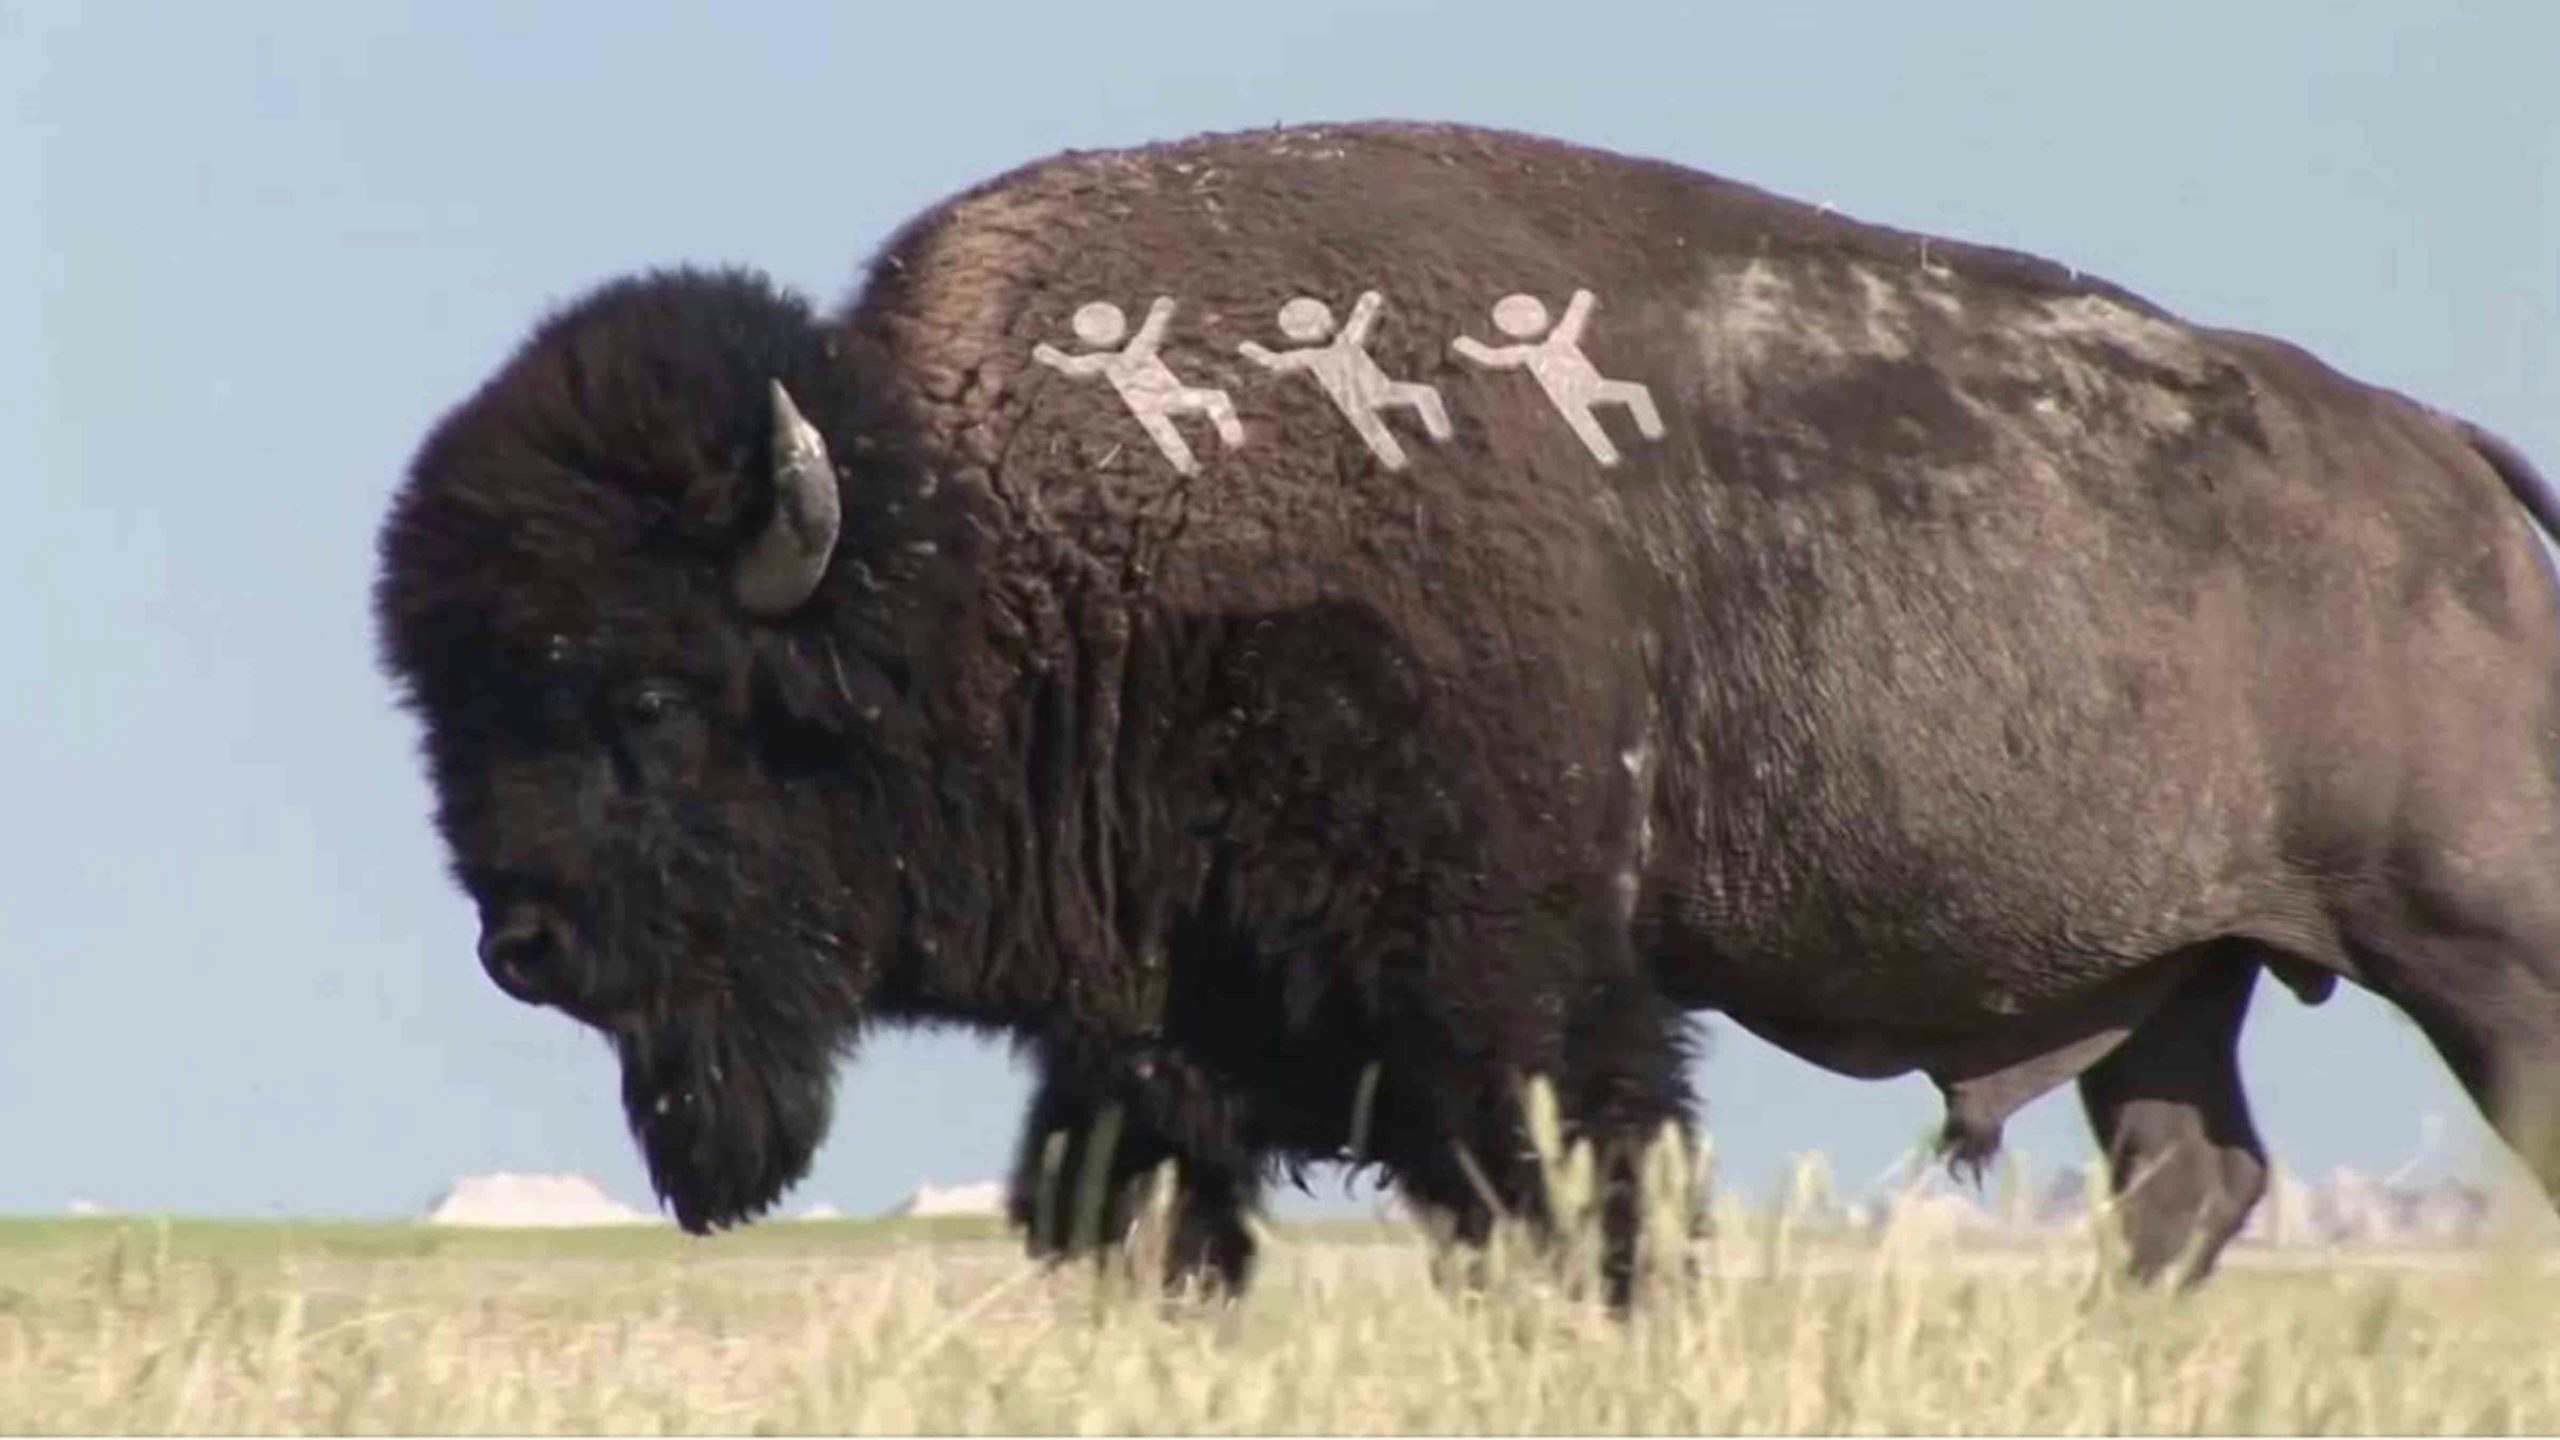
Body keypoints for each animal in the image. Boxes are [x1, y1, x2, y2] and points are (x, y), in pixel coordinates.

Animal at [378, 121, 2560, 1297]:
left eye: (651, 696)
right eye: (446, 703)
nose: (520, 944)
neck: (992, 541)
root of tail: (2444, 462)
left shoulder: (1517, 999)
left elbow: (1571, 1191)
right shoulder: (1153, 1032)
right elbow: (1122, 1209)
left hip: (2475, 947)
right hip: (2171, 984)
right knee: (2189, 1181)